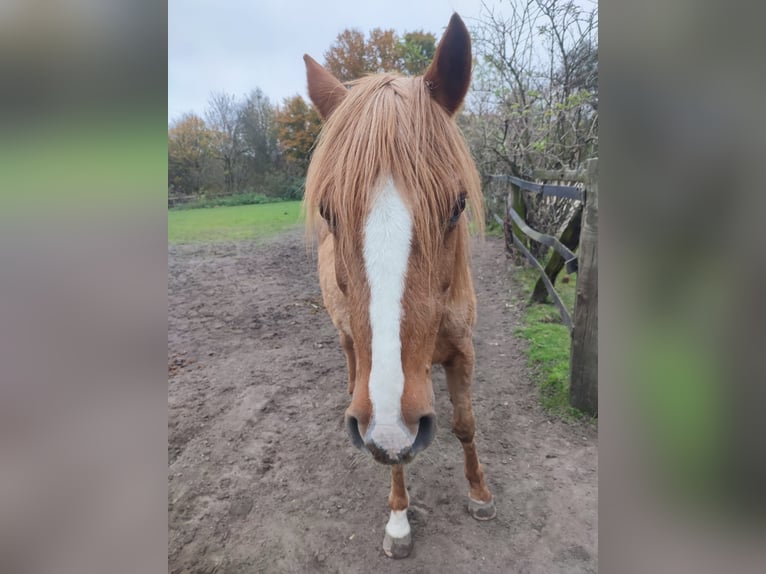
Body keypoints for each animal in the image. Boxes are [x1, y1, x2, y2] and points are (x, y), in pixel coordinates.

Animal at [304, 14, 496, 564]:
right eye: (328, 212)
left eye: (457, 206)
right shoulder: (384, 412)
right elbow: (391, 451)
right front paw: (398, 521)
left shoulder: (463, 352)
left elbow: (465, 424)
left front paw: (480, 494)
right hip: (346, 335)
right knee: (352, 358)